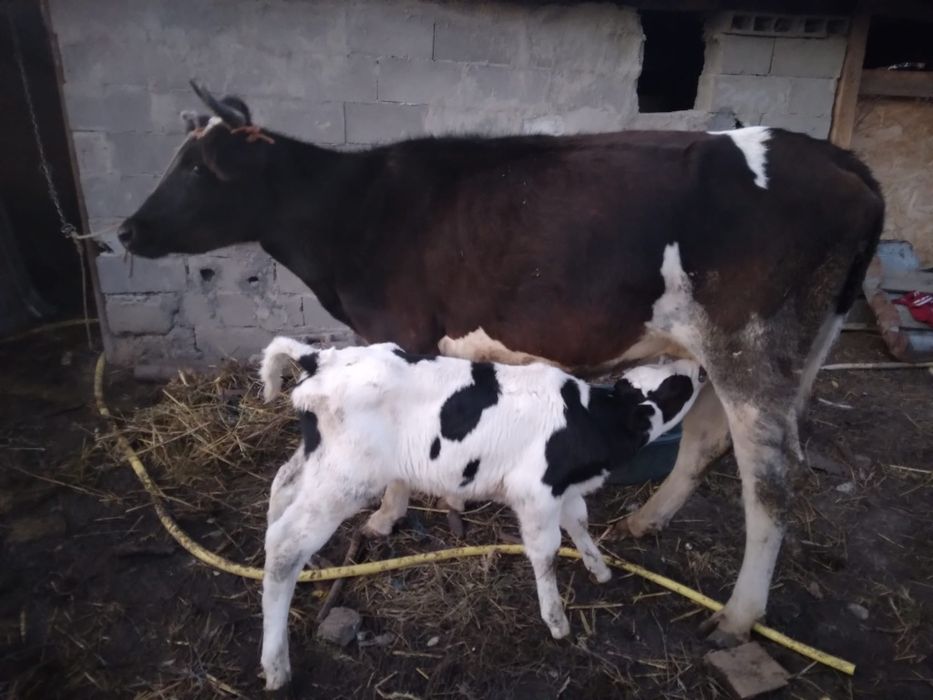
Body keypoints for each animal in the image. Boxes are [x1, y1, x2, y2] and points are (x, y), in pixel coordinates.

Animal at [117, 81, 884, 645]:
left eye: (196, 169)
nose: (126, 228)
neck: (350, 212)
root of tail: (838, 160)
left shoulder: (401, 329)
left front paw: (386, 517)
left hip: (748, 346)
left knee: (770, 479)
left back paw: (738, 616)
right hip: (733, 348)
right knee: (704, 439)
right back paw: (646, 522)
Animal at [257, 336, 703, 689]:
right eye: (678, 387)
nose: (700, 367)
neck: (587, 420)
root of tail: (320, 358)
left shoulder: (563, 489)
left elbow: (578, 522)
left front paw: (599, 568)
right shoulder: (535, 492)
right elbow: (546, 552)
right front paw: (556, 619)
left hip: (320, 461)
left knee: (280, 487)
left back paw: (306, 569)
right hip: (347, 478)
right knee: (284, 544)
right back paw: (276, 663)